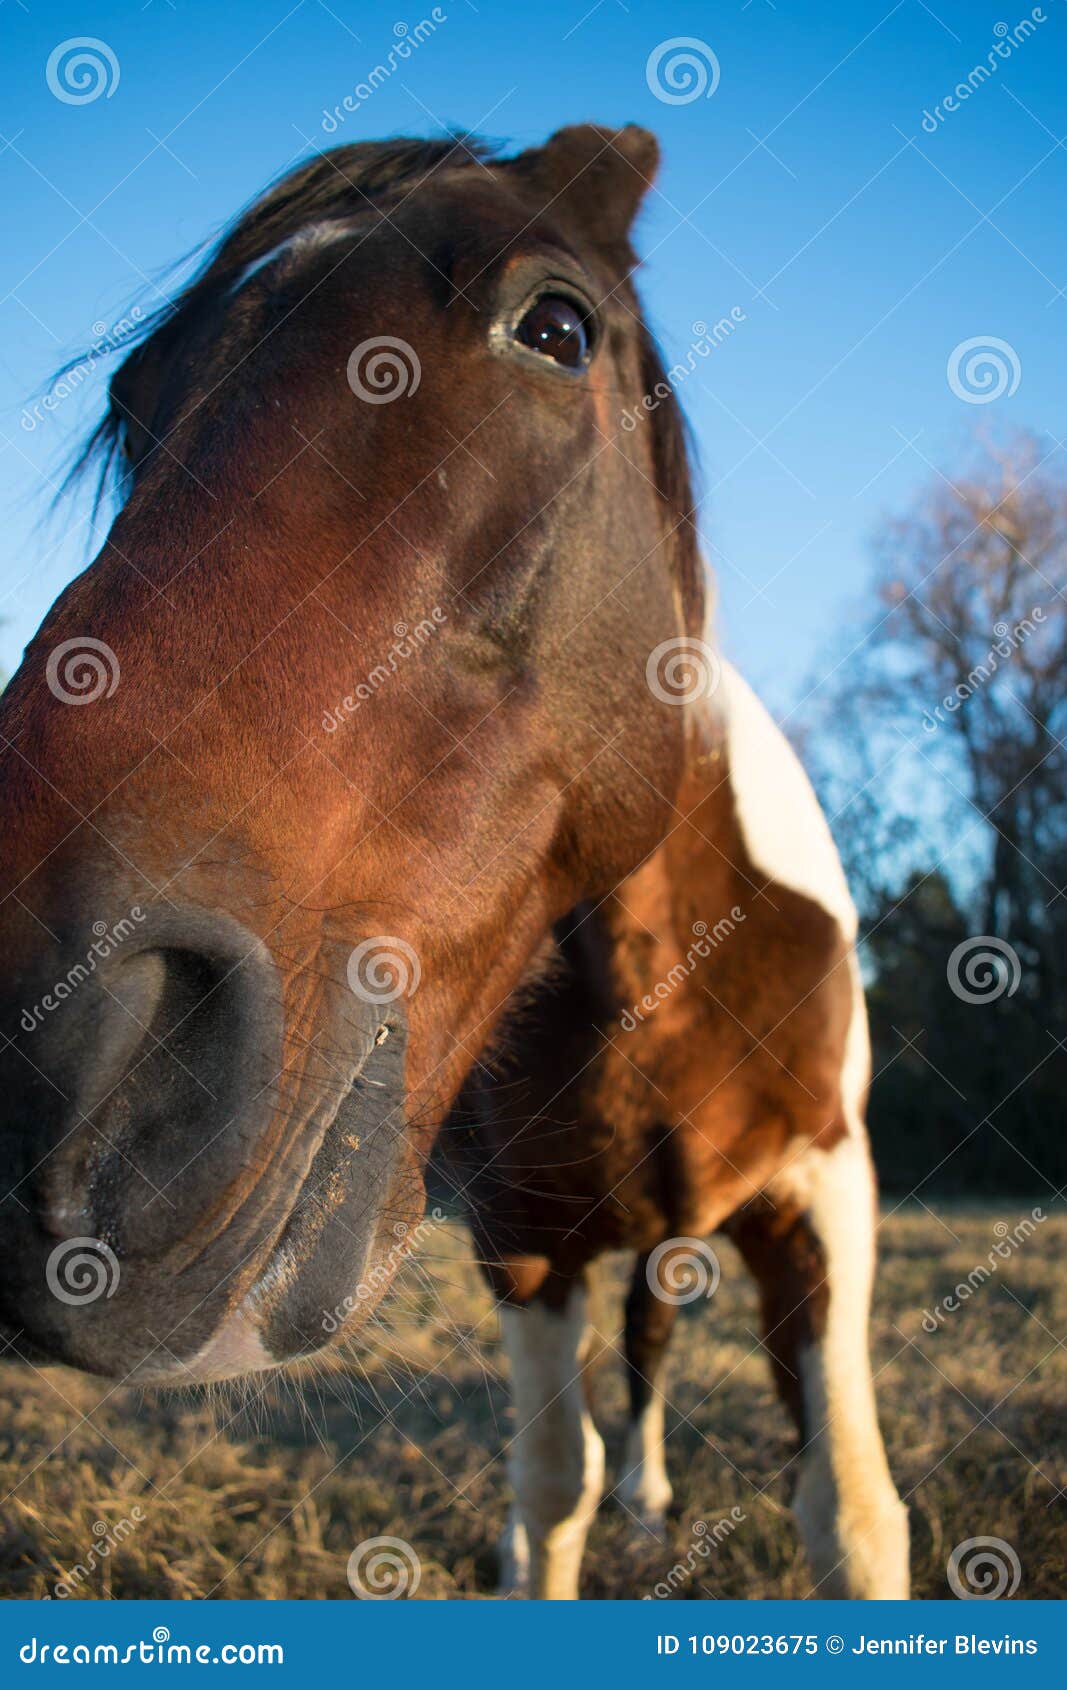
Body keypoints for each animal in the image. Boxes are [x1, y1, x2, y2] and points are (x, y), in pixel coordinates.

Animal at [0, 123, 908, 1601]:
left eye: (555, 327)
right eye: (137, 405)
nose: (45, 1048)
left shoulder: (825, 1195)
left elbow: (852, 1514)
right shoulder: (523, 1238)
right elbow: (550, 1487)